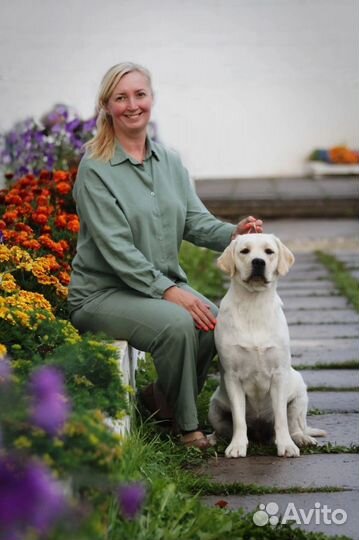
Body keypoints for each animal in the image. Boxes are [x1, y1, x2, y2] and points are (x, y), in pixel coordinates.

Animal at [208, 234, 326, 458]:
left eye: (269, 252)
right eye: (244, 251)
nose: (258, 262)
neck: (253, 304)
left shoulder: (279, 374)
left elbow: (281, 419)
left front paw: (286, 446)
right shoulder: (232, 376)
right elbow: (239, 419)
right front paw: (237, 446)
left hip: (299, 395)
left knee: (295, 425)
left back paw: (301, 439)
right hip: (215, 406)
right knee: (223, 428)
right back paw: (212, 438)